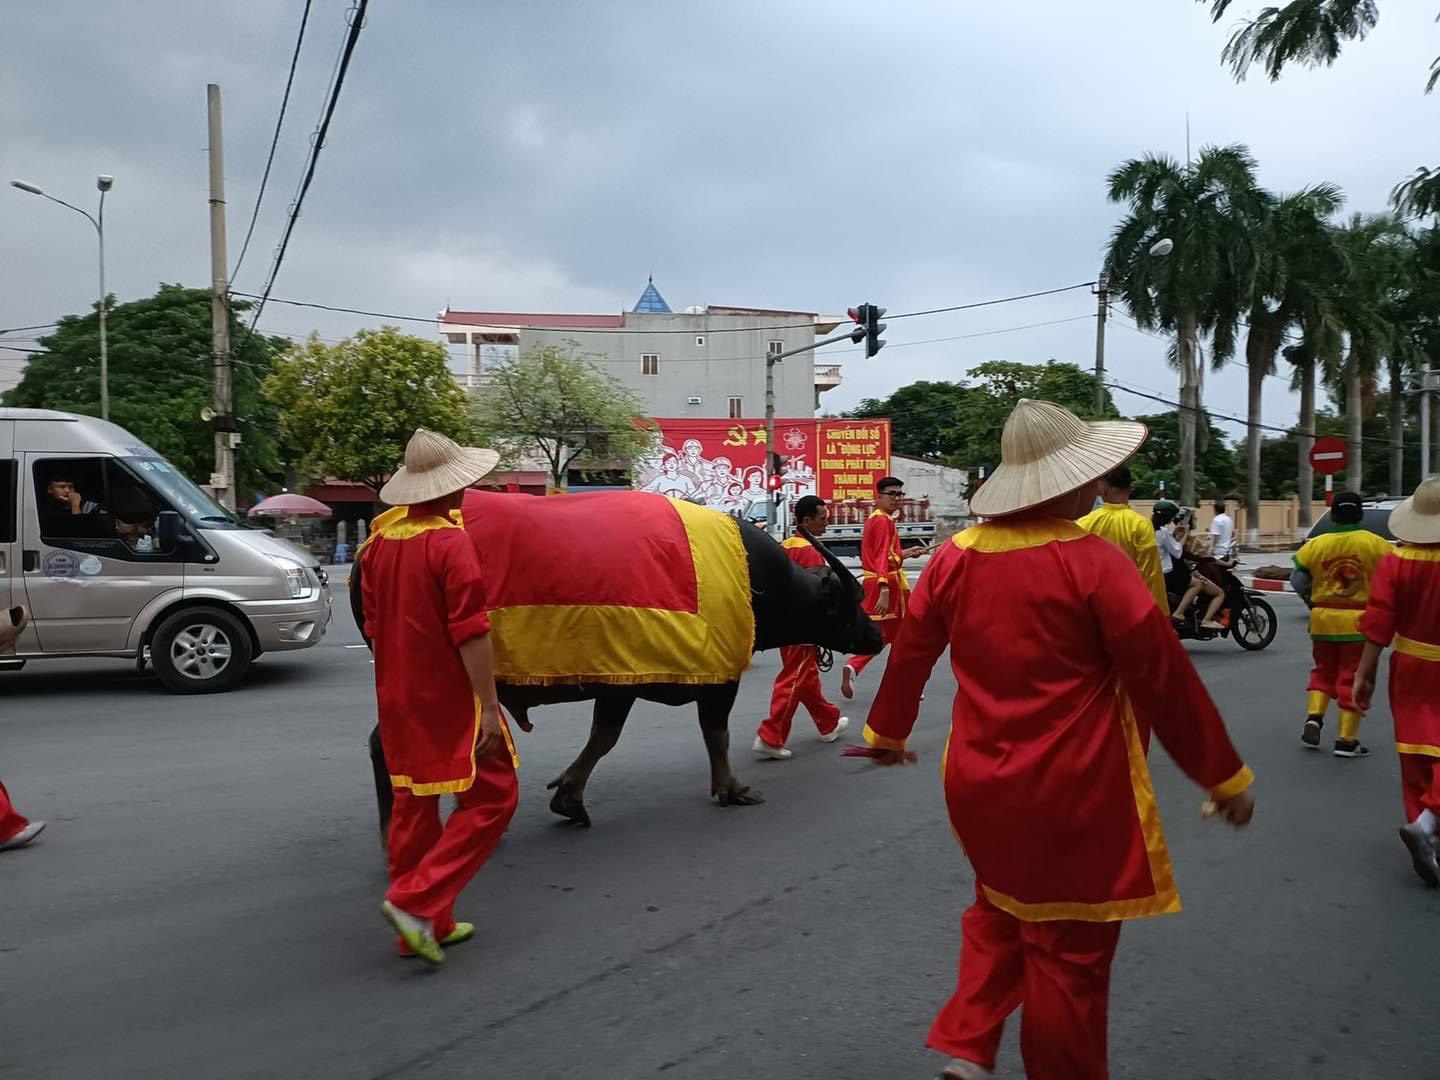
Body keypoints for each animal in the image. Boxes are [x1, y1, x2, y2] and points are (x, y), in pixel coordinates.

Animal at [354, 492, 881, 835]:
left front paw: (568, 794)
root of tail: (372, 545)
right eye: (848, 604)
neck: (757, 580)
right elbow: (711, 733)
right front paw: (731, 788)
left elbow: (603, 737)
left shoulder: (621, 683)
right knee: (389, 745)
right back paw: (395, 827)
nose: (876, 636)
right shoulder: (708, 678)